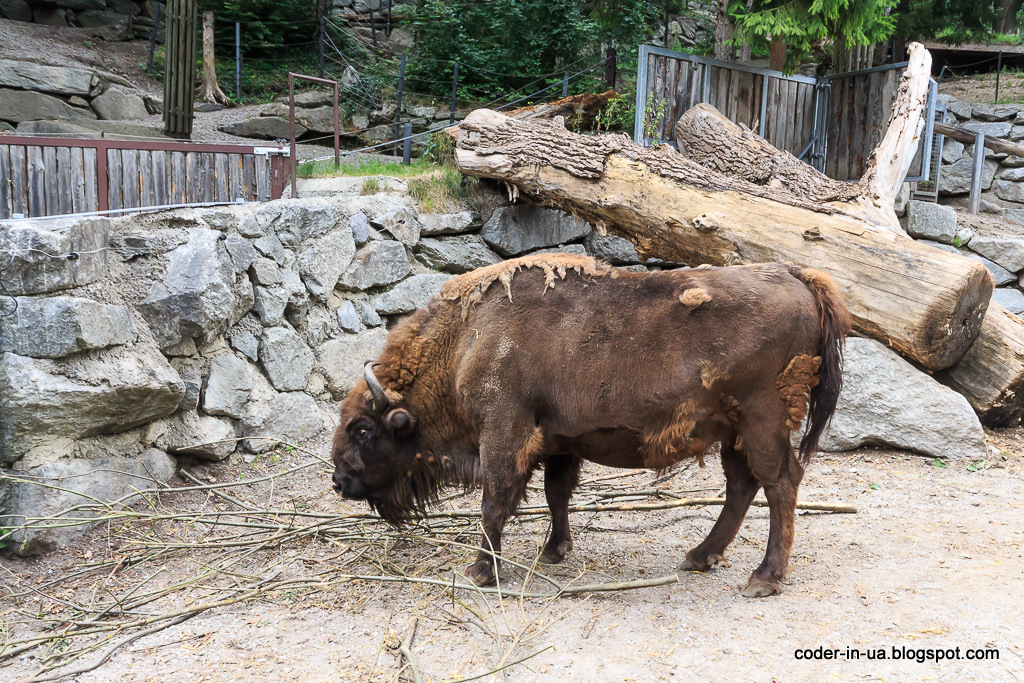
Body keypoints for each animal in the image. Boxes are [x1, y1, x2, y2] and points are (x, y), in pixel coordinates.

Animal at [331, 252, 851, 598]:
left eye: (363, 430)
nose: (338, 481)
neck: (467, 339)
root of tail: (798, 276)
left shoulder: (504, 431)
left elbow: (495, 501)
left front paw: (480, 571)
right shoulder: (559, 441)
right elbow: (556, 494)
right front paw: (553, 550)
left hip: (762, 420)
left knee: (780, 482)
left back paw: (763, 578)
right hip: (733, 430)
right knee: (743, 485)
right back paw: (699, 556)